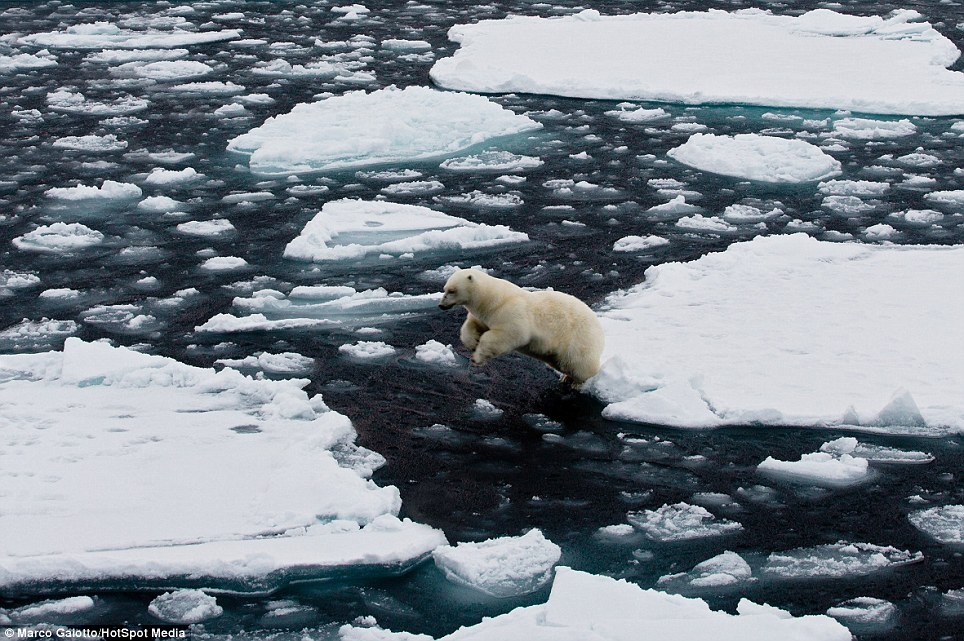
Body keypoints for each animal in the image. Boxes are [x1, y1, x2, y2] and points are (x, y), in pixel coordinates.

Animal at [436, 268, 604, 384]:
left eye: (452, 290)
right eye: (444, 288)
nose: (441, 305)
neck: (492, 300)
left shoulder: (511, 313)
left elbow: (505, 335)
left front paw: (476, 358)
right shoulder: (484, 314)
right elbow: (472, 325)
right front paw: (472, 343)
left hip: (577, 340)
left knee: (581, 364)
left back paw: (576, 382)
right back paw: (566, 377)